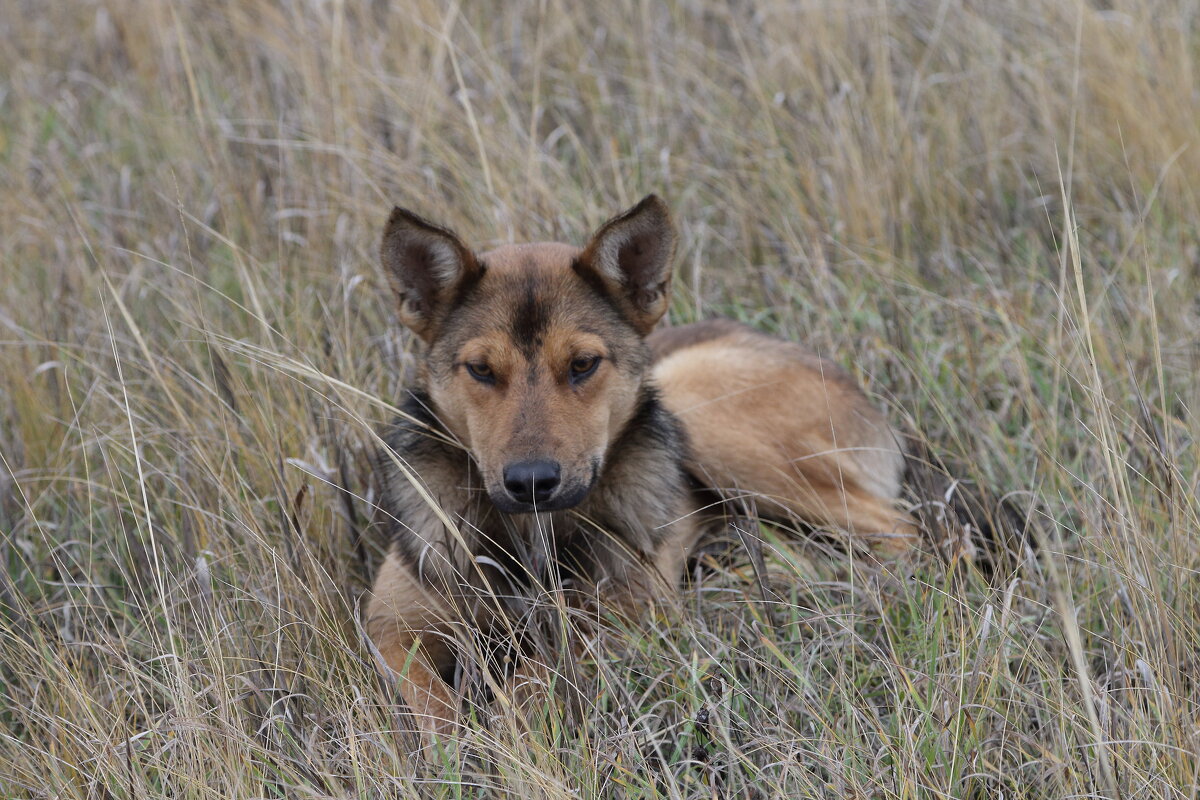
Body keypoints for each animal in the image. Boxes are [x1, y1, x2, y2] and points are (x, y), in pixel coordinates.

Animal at [364, 195, 916, 743]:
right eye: (480, 369)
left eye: (583, 364)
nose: (530, 483)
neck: (530, 532)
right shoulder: (391, 627)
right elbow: (431, 705)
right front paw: (452, 747)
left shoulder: (623, 611)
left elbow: (530, 683)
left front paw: (504, 735)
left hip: (703, 418)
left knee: (904, 534)